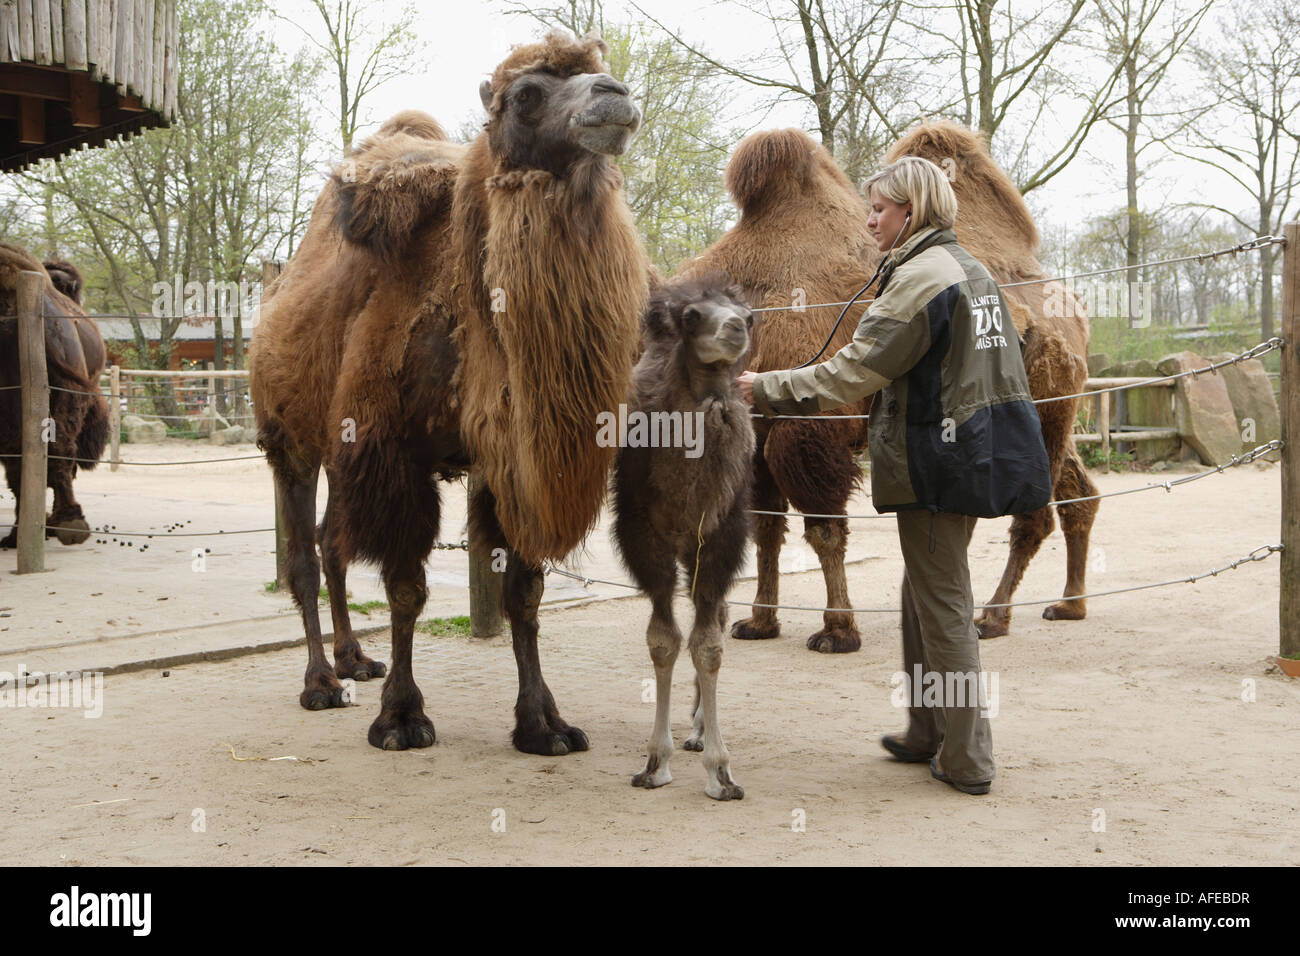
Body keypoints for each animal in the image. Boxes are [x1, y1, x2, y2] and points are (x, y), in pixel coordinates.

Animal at [246, 33, 644, 754]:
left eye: (598, 72)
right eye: (526, 94)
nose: (615, 95)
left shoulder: (505, 457)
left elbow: (524, 592)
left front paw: (543, 723)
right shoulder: (394, 449)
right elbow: (406, 588)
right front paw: (402, 719)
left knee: (330, 543)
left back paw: (356, 659)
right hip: (289, 441)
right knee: (302, 557)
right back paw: (321, 682)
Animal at [613, 270, 759, 801]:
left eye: (749, 315)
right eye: (693, 316)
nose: (736, 327)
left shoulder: (720, 537)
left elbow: (708, 645)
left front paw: (721, 771)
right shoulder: (642, 537)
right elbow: (663, 641)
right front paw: (655, 762)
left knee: (715, 617)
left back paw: (698, 728)